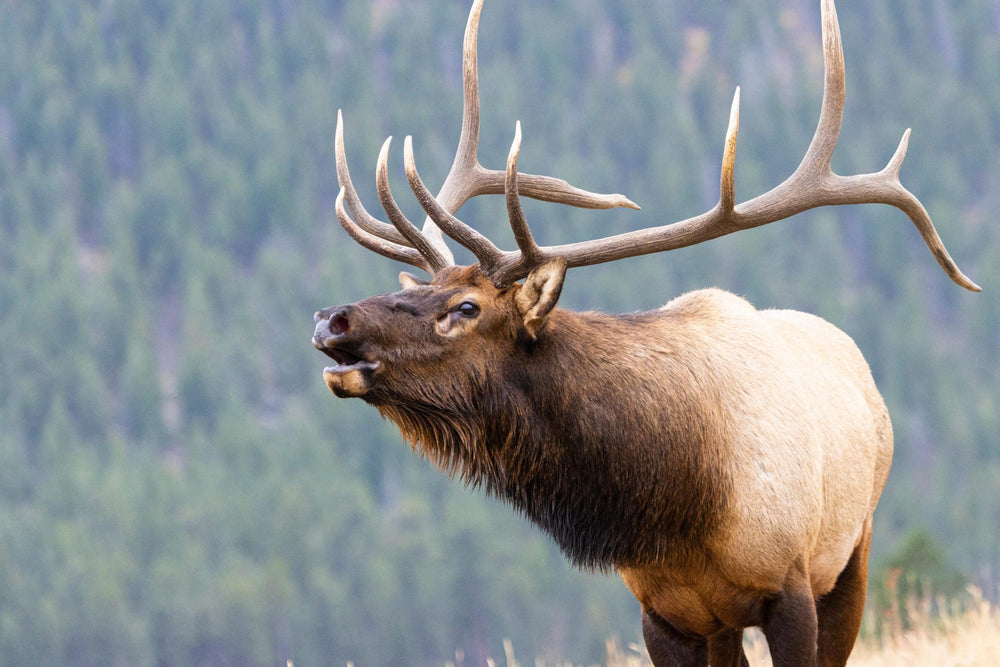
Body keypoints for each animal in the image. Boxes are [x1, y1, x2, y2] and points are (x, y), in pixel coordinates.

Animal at [312, 0, 980, 664]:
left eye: (467, 307)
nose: (331, 318)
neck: (681, 502)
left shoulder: (789, 586)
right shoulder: (662, 612)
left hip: (851, 556)